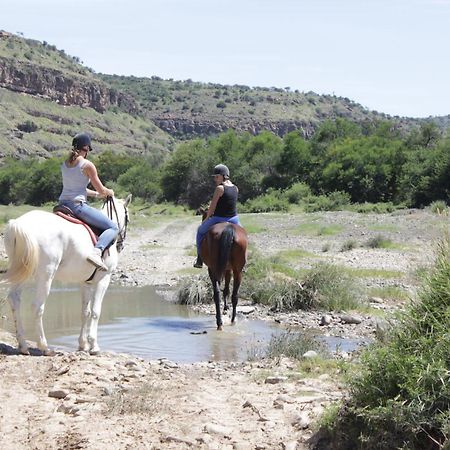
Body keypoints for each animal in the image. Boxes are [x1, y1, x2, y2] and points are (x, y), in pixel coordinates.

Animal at [1, 195, 131, 356]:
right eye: (128, 218)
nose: (121, 245)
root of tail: (19, 224)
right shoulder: (103, 279)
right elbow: (95, 312)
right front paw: (94, 346)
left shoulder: (85, 283)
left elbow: (85, 312)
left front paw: (83, 345)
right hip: (45, 276)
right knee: (37, 307)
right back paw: (45, 347)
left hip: (23, 273)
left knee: (14, 300)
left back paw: (23, 345)